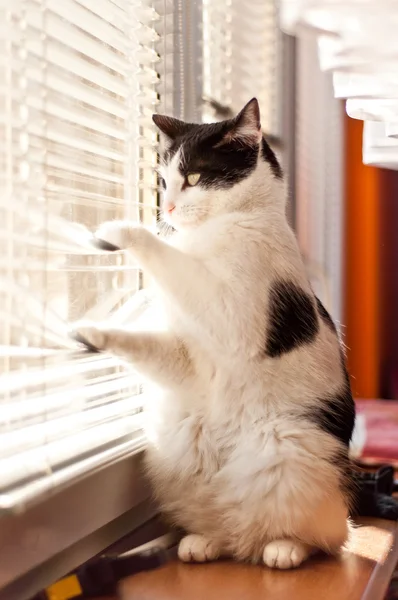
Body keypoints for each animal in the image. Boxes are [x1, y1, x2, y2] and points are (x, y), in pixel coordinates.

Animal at [73, 97, 356, 568]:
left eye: (193, 178)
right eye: (164, 181)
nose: (166, 208)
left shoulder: (229, 314)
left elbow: (169, 259)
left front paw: (120, 231)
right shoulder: (189, 360)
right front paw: (89, 333)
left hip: (287, 449)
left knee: (325, 536)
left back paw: (284, 549)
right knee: (230, 521)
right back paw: (206, 541)